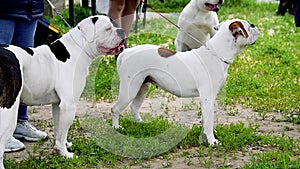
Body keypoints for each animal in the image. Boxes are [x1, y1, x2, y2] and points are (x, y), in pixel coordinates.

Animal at [0, 15, 125, 169]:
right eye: (108, 28)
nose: (122, 31)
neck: (79, 47)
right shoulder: (69, 105)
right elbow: (64, 130)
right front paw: (65, 154)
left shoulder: (58, 105)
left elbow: (60, 130)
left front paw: (63, 146)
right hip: (8, 112)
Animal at [111, 19, 258, 146]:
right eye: (249, 27)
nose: (254, 25)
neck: (217, 53)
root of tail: (126, 52)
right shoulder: (207, 97)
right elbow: (209, 120)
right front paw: (212, 141)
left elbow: (205, 119)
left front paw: (206, 135)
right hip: (129, 90)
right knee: (115, 109)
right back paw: (116, 127)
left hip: (143, 86)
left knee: (134, 106)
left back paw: (140, 123)